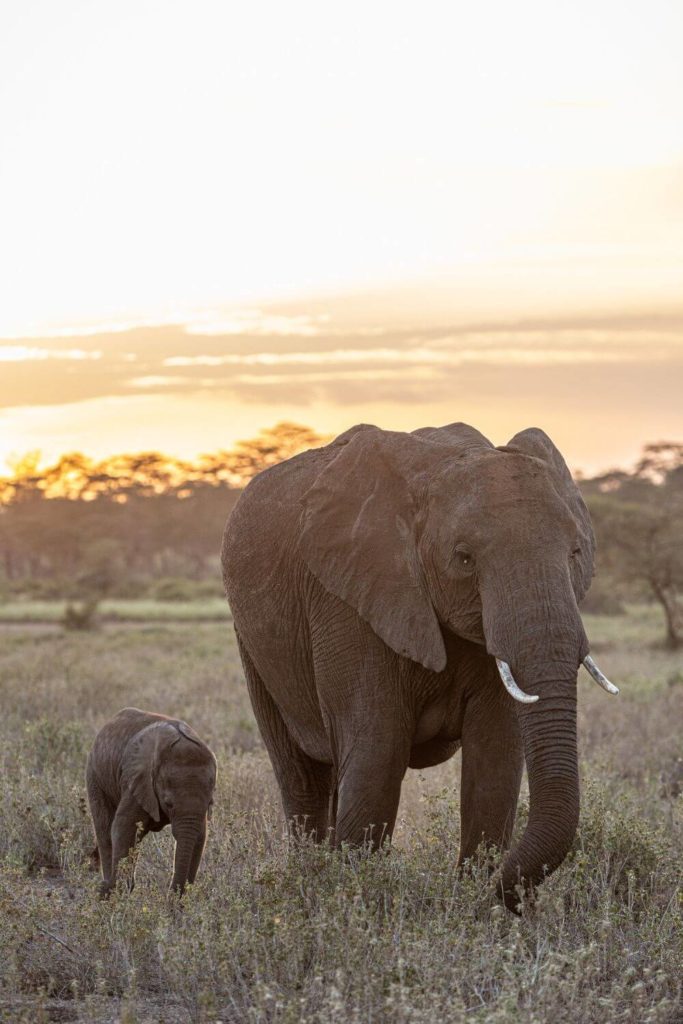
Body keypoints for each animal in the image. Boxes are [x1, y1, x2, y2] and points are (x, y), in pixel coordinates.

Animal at [87, 704, 216, 897]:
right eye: (169, 803)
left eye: (210, 804)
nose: (170, 896)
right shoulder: (139, 781)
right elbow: (123, 827)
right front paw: (116, 893)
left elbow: (200, 836)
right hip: (95, 775)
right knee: (105, 828)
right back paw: (108, 891)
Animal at [222, 419, 618, 909]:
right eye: (464, 558)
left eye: (576, 553)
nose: (502, 894)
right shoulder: (347, 597)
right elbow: (377, 750)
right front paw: (357, 903)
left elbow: (495, 759)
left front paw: (474, 910)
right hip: (253, 642)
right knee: (302, 776)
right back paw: (309, 882)